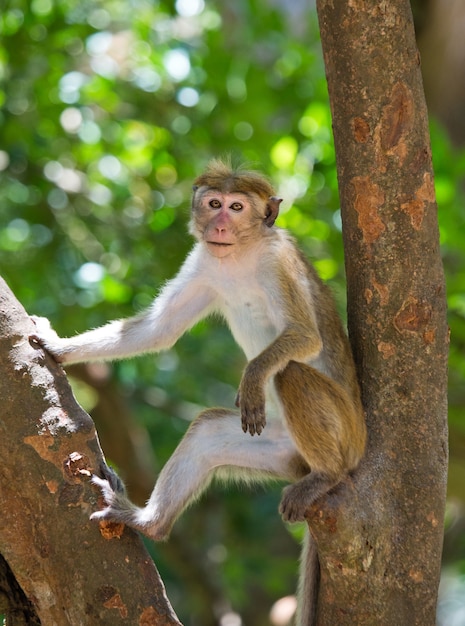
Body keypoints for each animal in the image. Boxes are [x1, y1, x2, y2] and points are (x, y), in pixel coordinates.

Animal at [32, 158, 366, 620]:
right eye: (213, 203)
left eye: (237, 207)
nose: (219, 224)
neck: (239, 256)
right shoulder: (204, 263)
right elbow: (159, 331)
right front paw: (58, 348)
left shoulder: (277, 262)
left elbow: (304, 336)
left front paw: (252, 376)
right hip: (281, 449)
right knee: (207, 432)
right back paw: (148, 522)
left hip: (345, 432)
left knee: (290, 374)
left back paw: (327, 474)